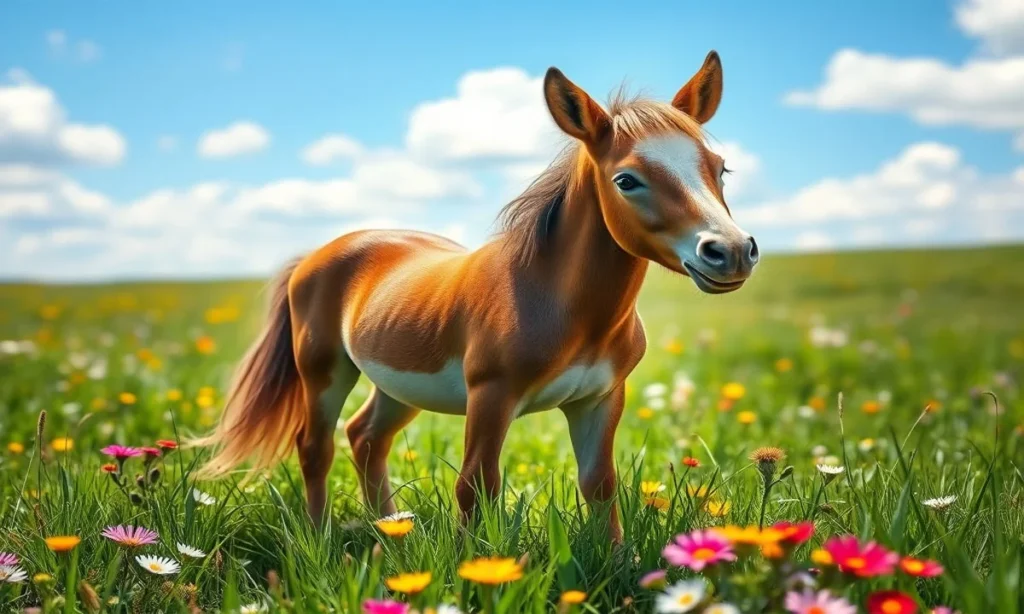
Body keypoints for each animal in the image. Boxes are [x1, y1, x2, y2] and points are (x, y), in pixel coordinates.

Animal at [195, 50, 758, 542]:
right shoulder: (491, 397)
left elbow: (600, 485)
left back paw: (392, 530)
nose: (730, 251)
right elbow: (476, 486)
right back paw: (318, 537)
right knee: (315, 448)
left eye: (720, 167)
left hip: (397, 384)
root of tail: (318, 254)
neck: (557, 303)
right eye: (626, 179)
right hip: (325, 371)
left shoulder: (599, 399)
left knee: (367, 439)